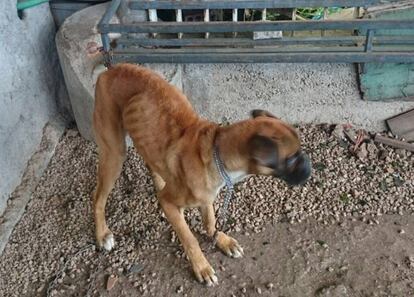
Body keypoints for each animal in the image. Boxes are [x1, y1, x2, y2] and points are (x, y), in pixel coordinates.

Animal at [91, 62, 310, 284]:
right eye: (291, 159)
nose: (308, 167)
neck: (217, 153)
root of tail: (112, 68)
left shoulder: (206, 198)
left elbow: (210, 221)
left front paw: (221, 239)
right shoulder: (171, 204)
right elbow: (190, 238)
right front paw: (201, 266)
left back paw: (159, 182)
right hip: (114, 154)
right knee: (97, 197)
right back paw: (102, 234)